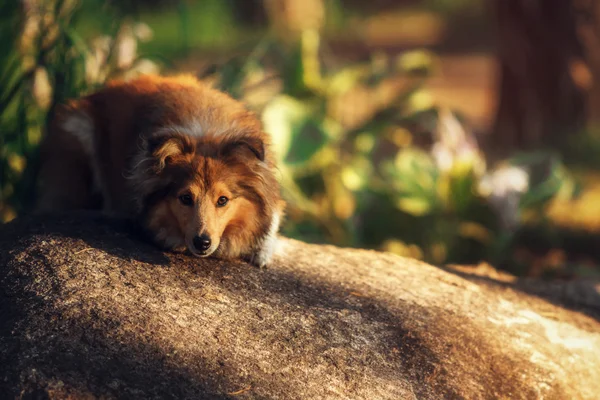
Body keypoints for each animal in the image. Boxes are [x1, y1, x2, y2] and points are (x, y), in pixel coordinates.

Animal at [36, 75, 284, 268]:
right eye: (185, 198)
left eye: (223, 200)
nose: (202, 243)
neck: (206, 134)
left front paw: (262, 250)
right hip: (79, 135)